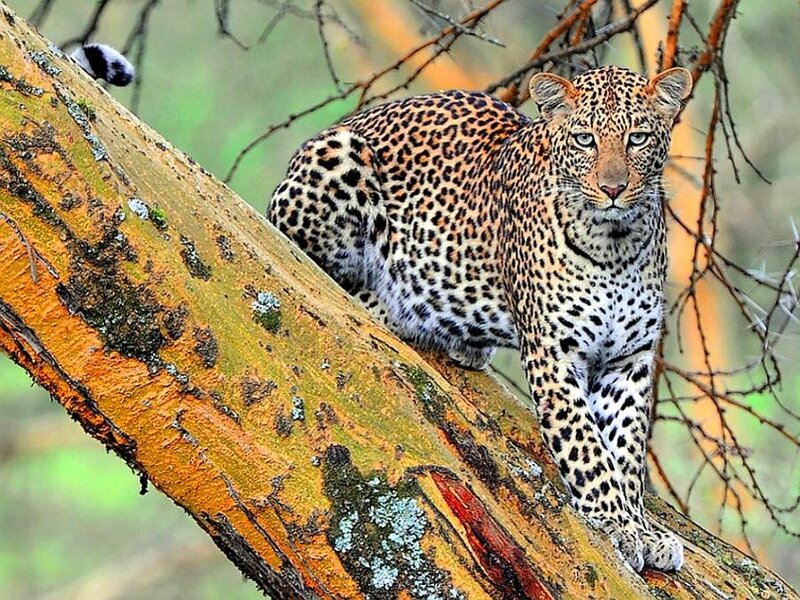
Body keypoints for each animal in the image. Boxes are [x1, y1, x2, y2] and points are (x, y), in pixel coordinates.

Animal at [269, 65, 692, 573]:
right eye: (585, 140)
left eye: (638, 138)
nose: (614, 189)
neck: (616, 241)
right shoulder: (554, 351)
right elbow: (587, 448)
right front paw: (617, 525)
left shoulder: (628, 359)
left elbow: (624, 452)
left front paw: (642, 528)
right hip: (336, 159)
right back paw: (391, 304)